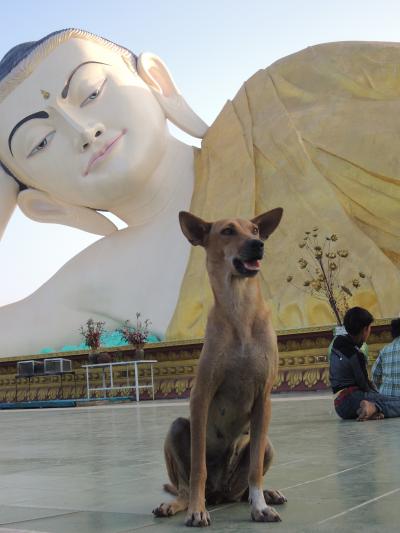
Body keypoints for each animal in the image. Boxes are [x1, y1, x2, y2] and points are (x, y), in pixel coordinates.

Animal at [152, 207, 286, 524]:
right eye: (227, 231)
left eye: (255, 230)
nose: (257, 244)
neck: (240, 310)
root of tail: (220, 493)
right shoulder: (201, 396)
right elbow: (197, 468)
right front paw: (196, 511)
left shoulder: (263, 398)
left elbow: (254, 471)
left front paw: (260, 506)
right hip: (177, 428)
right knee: (183, 485)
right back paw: (179, 504)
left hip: (267, 446)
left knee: (244, 486)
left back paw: (267, 493)